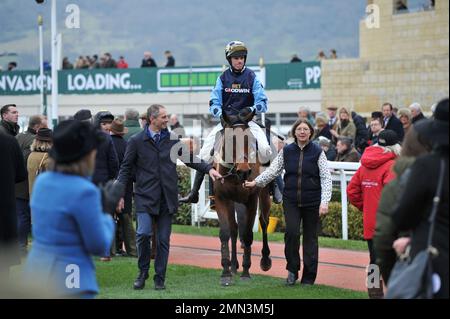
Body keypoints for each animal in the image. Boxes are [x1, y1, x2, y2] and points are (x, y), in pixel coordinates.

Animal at [213, 113, 272, 288]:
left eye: (250, 139)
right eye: (230, 139)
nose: (244, 171)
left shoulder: (251, 200)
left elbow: (247, 234)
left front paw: (246, 272)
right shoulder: (222, 199)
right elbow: (226, 232)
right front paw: (226, 271)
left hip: (264, 195)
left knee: (264, 222)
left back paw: (265, 260)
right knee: (234, 228)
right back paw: (233, 265)